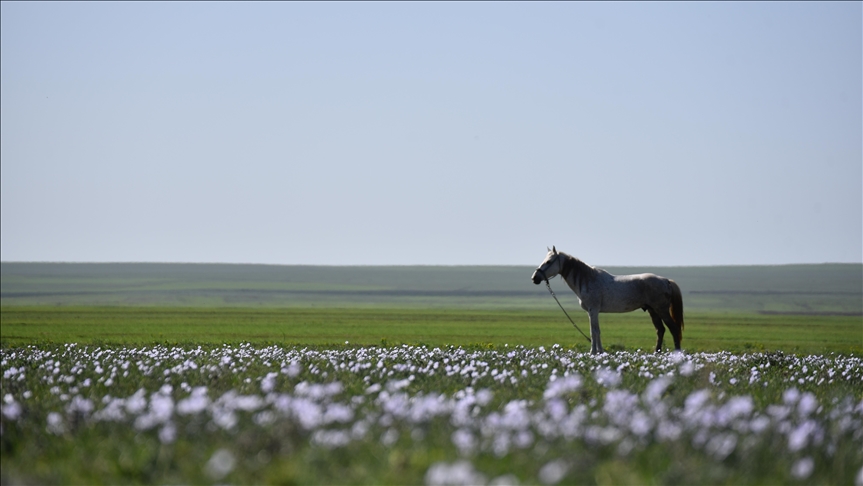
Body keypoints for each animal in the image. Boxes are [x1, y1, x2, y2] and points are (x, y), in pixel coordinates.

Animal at [531, 247, 685, 354]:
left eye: (548, 261)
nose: (534, 278)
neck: (588, 279)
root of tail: (666, 281)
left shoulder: (593, 310)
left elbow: (594, 331)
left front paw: (593, 352)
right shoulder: (591, 312)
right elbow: (596, 330)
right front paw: (599, 351)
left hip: (661, 310)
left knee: (673, 328)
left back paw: (676, 353)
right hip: (653, 311)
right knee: (660, 330)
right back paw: (656, 352)